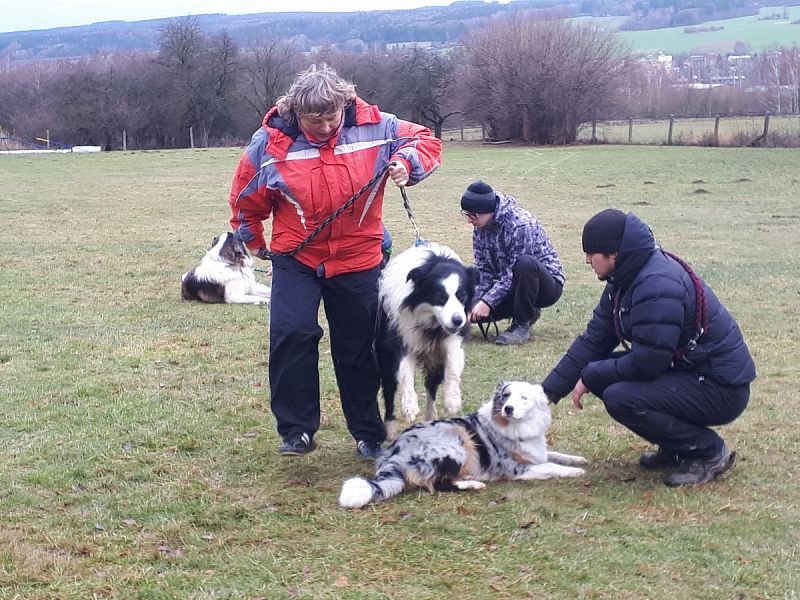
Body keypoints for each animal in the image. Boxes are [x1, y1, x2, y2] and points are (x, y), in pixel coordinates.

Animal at [338, 380, 588, 506]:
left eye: (523, 398)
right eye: (506, 396)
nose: (508, 409)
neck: (517, 426)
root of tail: (393, 454)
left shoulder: (537, 452)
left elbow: (555, 455)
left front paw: (578, 459)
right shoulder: (516, 468)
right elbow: (551, 466)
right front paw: (575, 472)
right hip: (456, 445)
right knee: (439, 484)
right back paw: (473, 484)